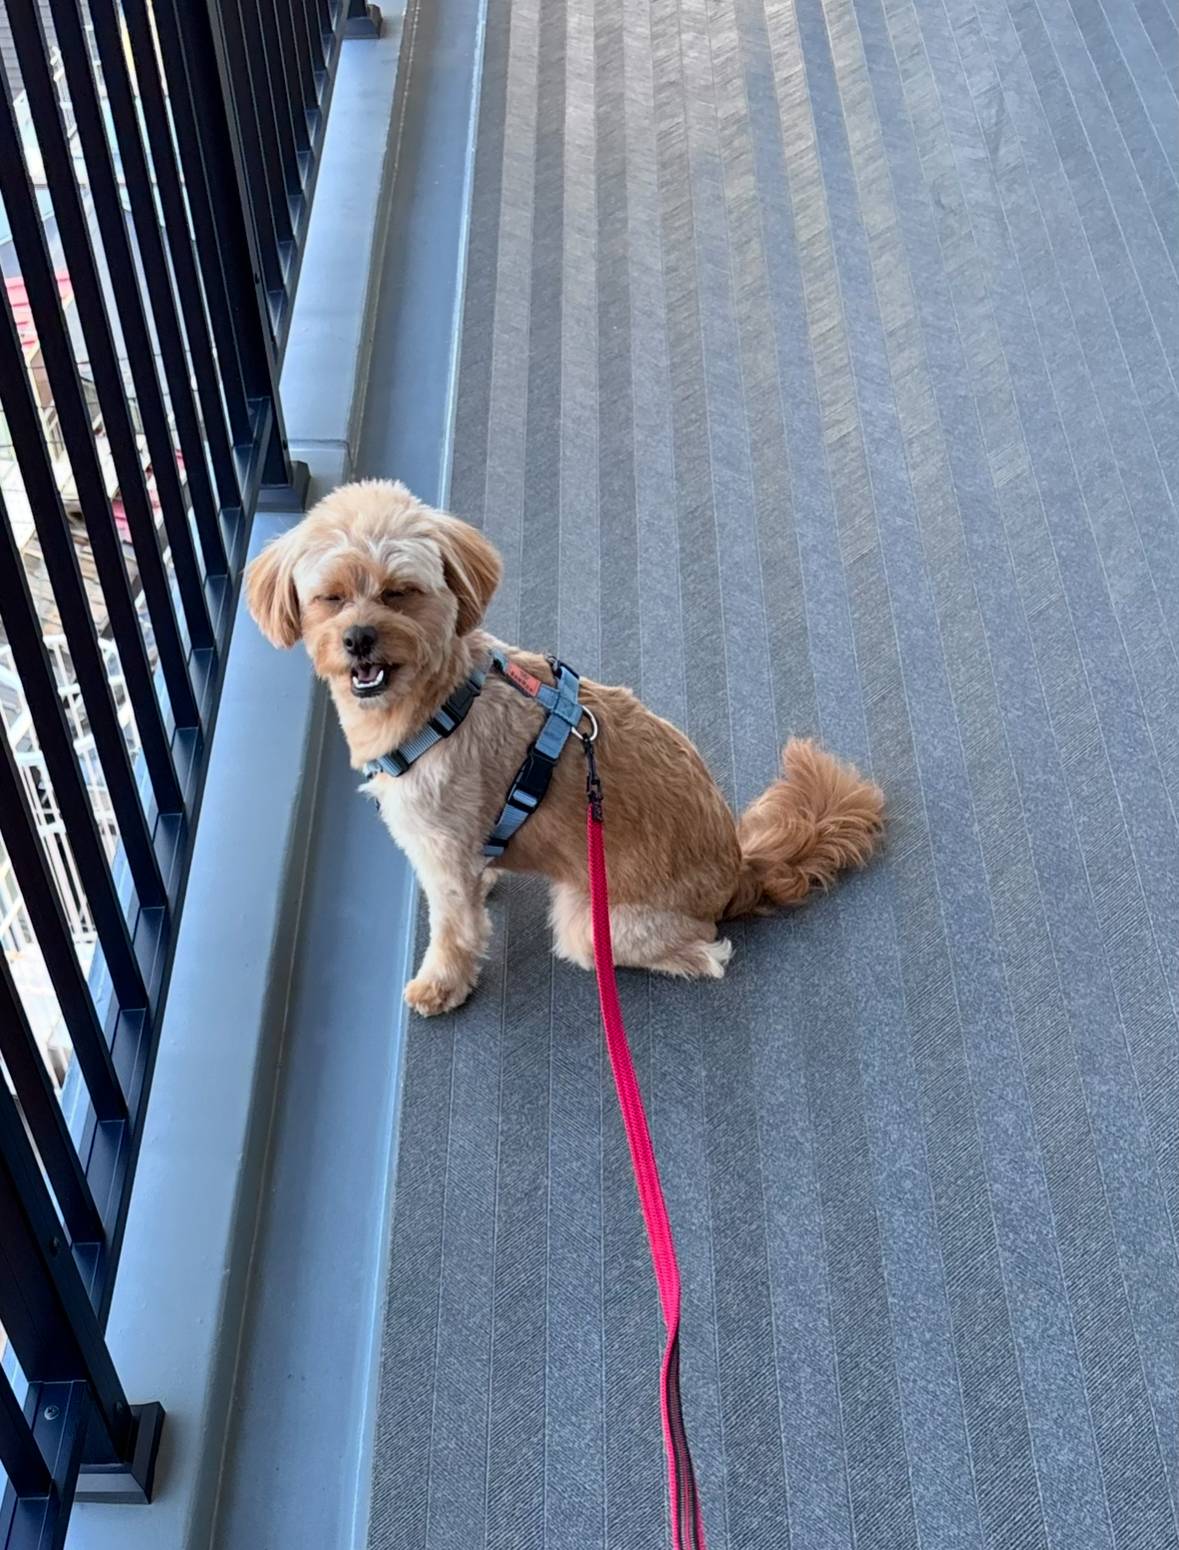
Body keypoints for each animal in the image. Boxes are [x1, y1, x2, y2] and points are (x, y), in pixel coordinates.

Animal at [246, 480, 884, 1016]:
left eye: (399, 592)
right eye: (330, 598)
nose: (358, 639)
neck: (440, 703)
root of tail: (739, 869)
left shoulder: (439, 853)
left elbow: (454, 929)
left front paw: (441, 985)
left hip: (590, 922)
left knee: (703, 953)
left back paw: (692, 955)